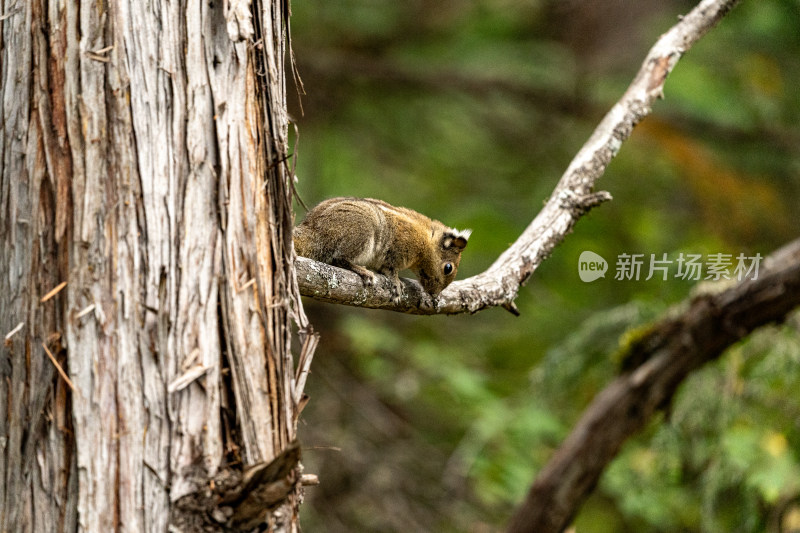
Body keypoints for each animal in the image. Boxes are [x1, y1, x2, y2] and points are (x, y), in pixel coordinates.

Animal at [292, 197, 468, 302]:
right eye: (448, 268)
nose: (434, 295)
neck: (426, 242)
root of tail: (312, 232)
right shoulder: (398, 249)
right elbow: (390, 269)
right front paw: (396, 282)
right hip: (360, 232)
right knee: (338, 258)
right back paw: (362, 271)